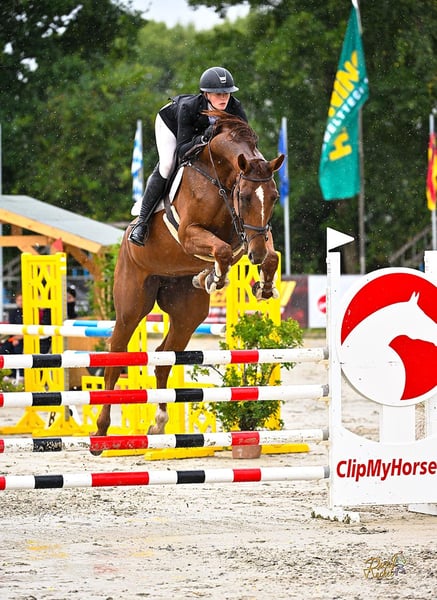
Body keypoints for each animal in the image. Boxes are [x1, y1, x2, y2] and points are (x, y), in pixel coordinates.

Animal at [94, 110, 285, 440]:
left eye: (273, 197)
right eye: (246, 197)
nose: (256, 255)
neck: (221, 175)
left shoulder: (250, 236)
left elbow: (259, 253)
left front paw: (262, 286)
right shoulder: (189, 233)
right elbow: (222, 249)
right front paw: (217, 278)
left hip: (187, 313)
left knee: (163, 357)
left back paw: (158, 421)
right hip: (131, 306)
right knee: (115, 362)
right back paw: (101, 432)